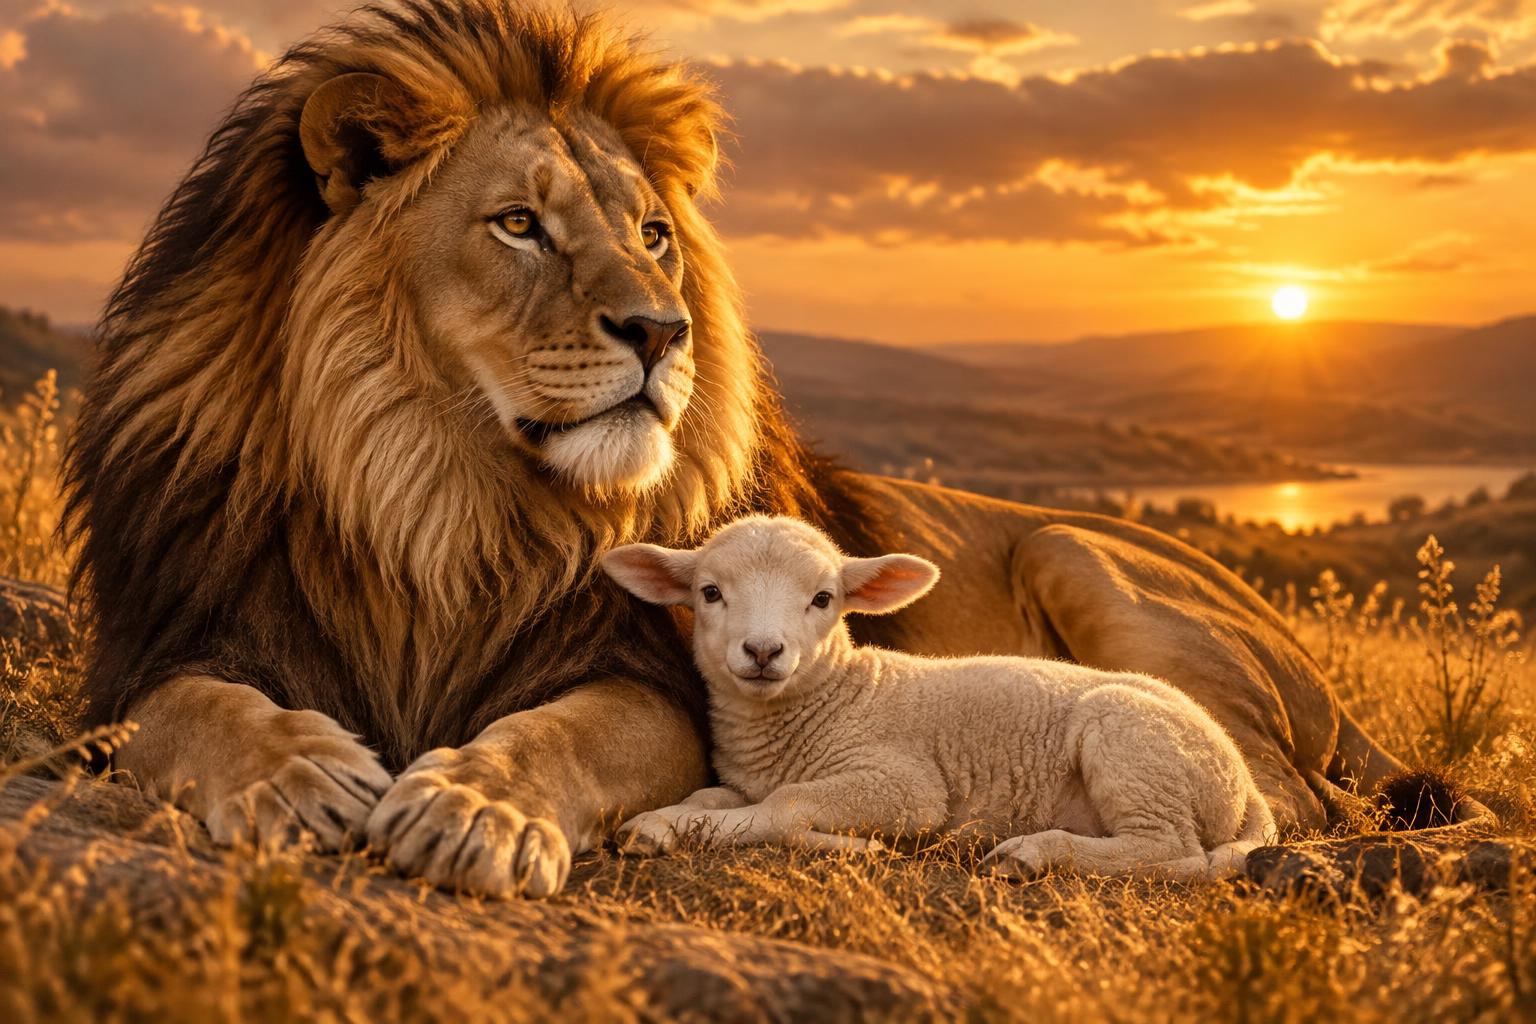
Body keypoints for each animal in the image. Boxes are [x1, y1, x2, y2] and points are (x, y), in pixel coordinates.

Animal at [600, 515, 1278, 880]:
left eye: (824, 599)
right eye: (710, 592)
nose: (764, 651)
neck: (832, 701)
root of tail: (1244, 784)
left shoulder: (903, 782)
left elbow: (785, 808)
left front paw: (853, 845)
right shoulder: (744, 780)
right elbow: (711, 797)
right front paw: (662, 824)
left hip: (1134, 745)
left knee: (1174, 852)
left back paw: (1030, 852)